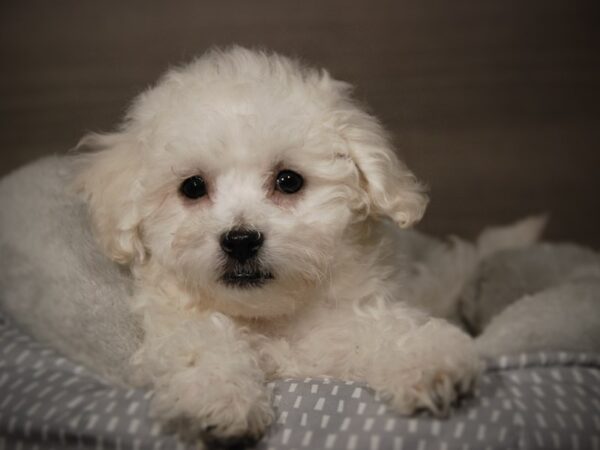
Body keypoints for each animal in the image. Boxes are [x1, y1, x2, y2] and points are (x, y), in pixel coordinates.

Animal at [76, 46, 478, 442]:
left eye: (289, 181)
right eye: (192, 187)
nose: (240, 240)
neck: (270, 320)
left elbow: (377, 329)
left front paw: (426, 360)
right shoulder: (173, 326)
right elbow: (198, 339)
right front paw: (218, 396)